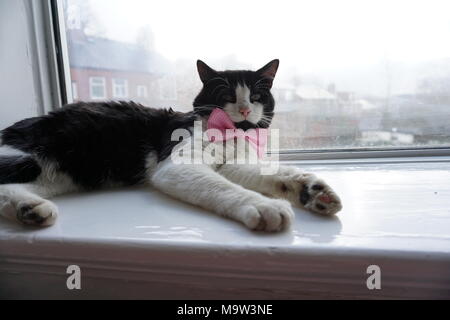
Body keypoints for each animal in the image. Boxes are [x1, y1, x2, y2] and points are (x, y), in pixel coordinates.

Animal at [0, 59, 342, 230]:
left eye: (256, 96)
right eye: (227, 95)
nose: (245, 110)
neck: (230, 133)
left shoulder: (233, 164)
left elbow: (266, 174)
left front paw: (311, 190)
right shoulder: (177, 164)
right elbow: (223, 186)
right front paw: (263, 205)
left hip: (59, 175)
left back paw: (29, 210)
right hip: (31, 158)